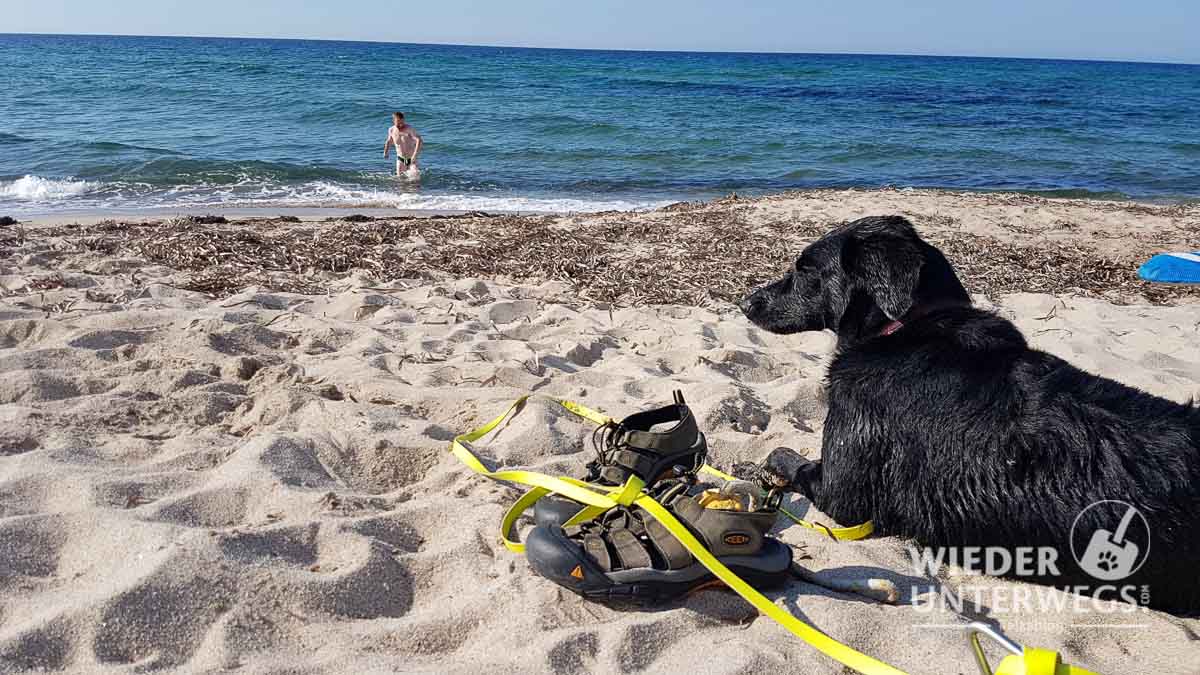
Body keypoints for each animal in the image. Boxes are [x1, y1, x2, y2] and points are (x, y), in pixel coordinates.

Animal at [739, 213, 1200, 610]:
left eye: (806, 269)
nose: (745, 302)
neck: (903, 326)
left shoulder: (842, 491)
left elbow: (784, 456)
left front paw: (762, 468)